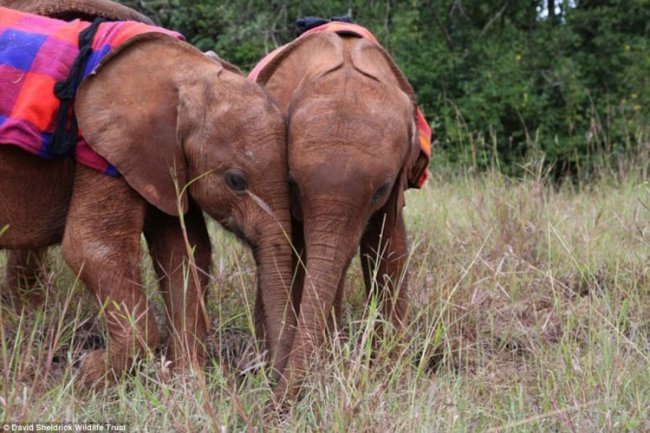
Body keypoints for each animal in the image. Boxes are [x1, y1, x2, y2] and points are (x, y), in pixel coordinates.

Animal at [0, 8, 292, 384]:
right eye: (236, 181)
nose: (263, 375)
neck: (185, 69)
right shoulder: (105, 148)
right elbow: (92, 248)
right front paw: (91, 372)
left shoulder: (159, 156)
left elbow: (184, 250)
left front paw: (188, 379)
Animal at [249, 22, 430, 400]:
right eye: (292, 181)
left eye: (381, 189)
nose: (276, 402)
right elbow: (294, 253)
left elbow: (386, 249)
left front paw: (392, 376)